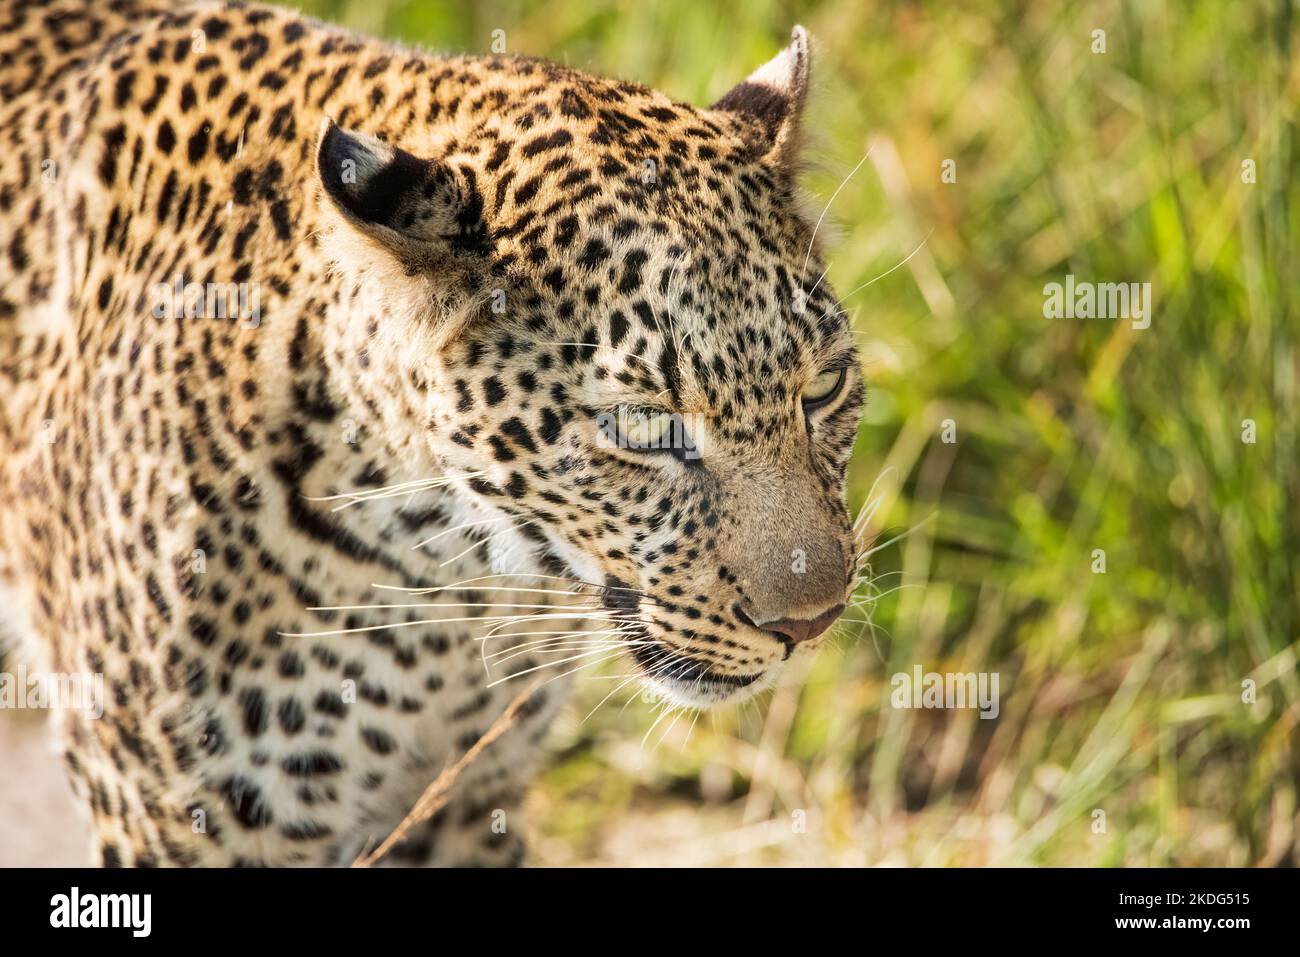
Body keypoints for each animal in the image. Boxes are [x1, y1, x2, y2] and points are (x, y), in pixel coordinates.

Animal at [2, 0, 873, 868]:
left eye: (823, 388)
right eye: (643, 425)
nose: (810, 623)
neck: (456, 584)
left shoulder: (466, 799)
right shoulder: (173, 817)